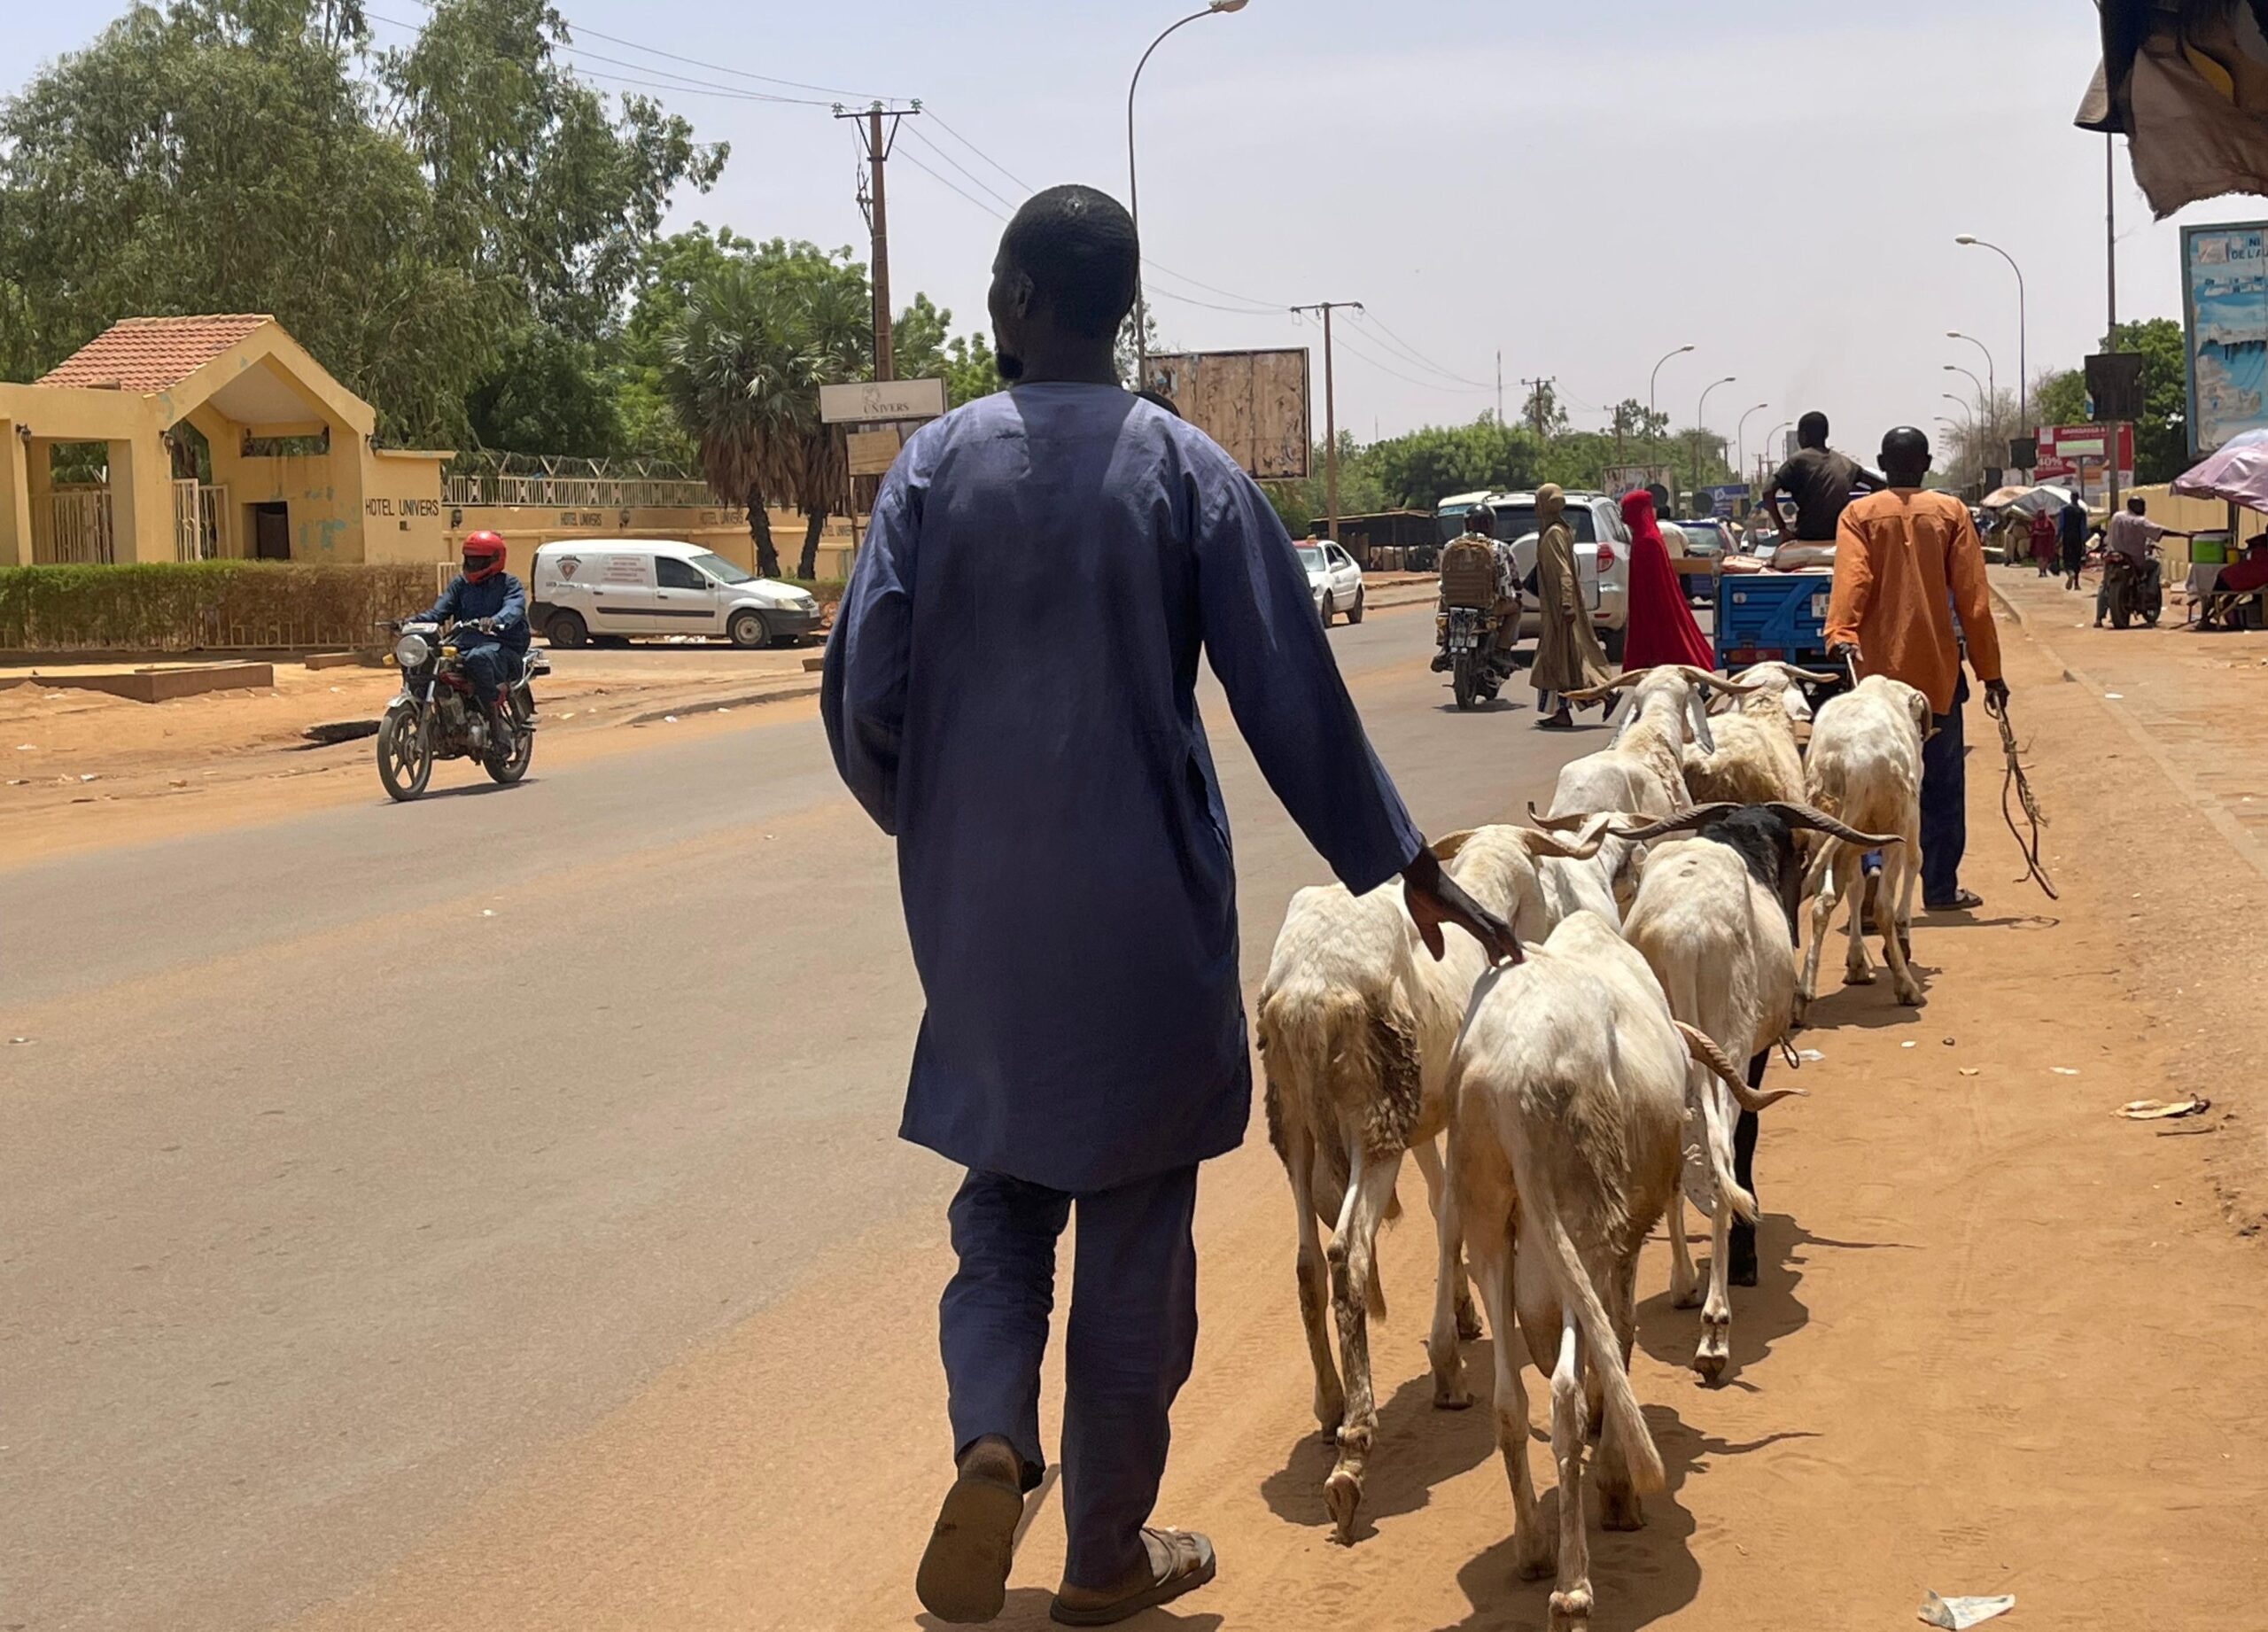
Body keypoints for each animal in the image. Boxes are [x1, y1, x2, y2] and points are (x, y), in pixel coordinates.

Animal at [1605, 802, 1905, 1378]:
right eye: (1799, 854)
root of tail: (1684, 934)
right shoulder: (1753, 1055)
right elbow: (1746, 1140)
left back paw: (1684, 1285)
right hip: (1731, 1037)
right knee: (1723, 1151)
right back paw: (1715, 1330)